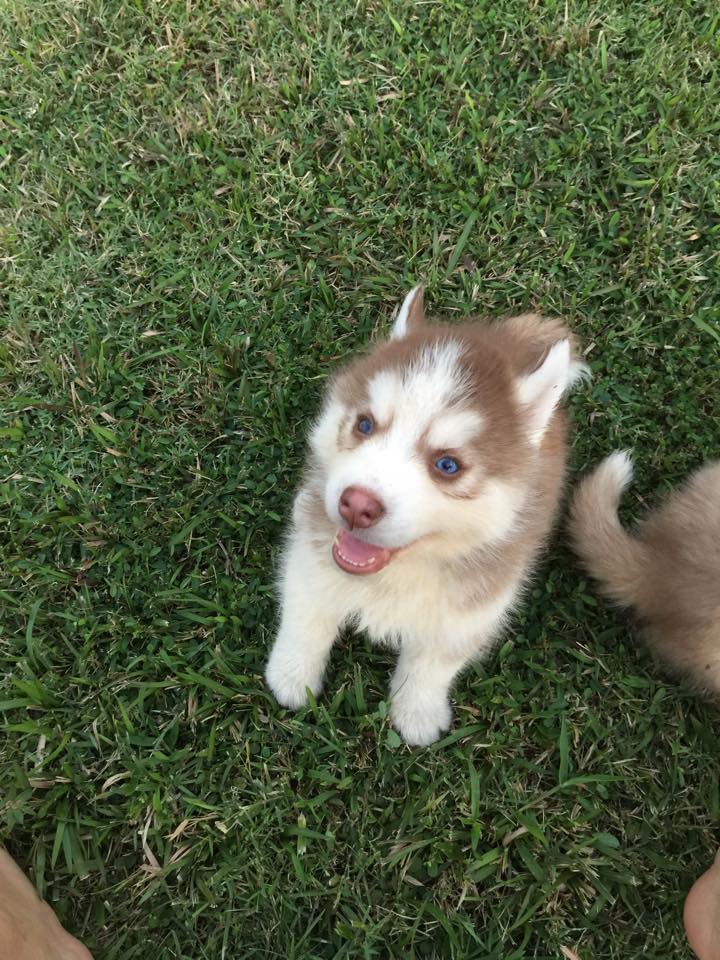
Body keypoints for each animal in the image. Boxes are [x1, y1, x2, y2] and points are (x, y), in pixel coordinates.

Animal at [266, 287, 586, 744]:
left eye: (447, 465)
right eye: (365, 425)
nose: (356, 505)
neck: (397, 572)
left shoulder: (476, 605)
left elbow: (434, 663)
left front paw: (417, 712)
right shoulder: (313, 553)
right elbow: (306, 614)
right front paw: (292, 676)